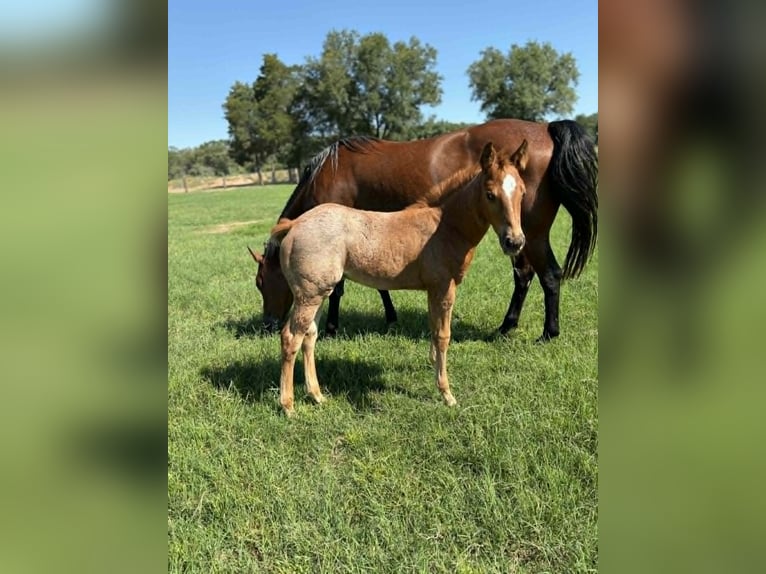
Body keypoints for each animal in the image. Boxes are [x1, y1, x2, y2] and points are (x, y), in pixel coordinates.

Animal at [250, 118, 597, 342]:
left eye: (261, 283)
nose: (266, 326)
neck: (328, 172)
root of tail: (545, 129)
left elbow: (339, 288)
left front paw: (333, 328)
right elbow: (380, 283)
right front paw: (390, 318)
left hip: (531, 234)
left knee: (549, 274)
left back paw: (548, 333)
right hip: (516, 236)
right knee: (524, 275)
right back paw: (505, 327)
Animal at [270, 141, 528, 416]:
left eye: (522, 193)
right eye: (490, 194)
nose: (515, 242)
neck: (445, 226)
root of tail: (294, 224)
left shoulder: (432, 290)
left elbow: (433, 330)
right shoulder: (444, 289)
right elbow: (443, 336)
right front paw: (447, 394)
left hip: (320, 293)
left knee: (309, 337)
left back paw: (317, 395)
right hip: (310, 295)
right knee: (291, 338)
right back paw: (288, 406)